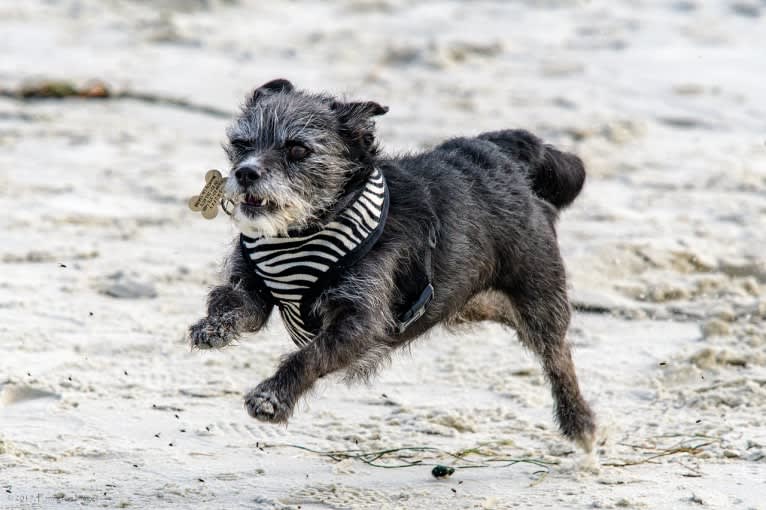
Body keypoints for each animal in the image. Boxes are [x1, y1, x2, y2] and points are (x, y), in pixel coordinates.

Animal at [189, 77, 596, 452]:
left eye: (298, 149)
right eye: (243, 144)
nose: (245, 172)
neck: (301, 233)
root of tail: (500, 152)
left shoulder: (361, 323)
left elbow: (308, 356)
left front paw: (272, 397)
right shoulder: (253, 289)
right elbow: (232, 304)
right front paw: (214, 327)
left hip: (538, 300)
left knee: (558, 355)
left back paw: (579, 421)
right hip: (469, 300)